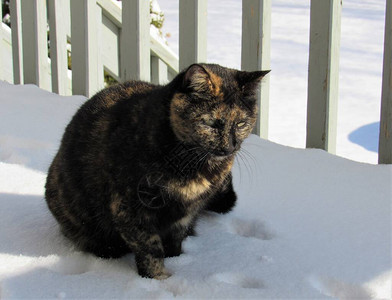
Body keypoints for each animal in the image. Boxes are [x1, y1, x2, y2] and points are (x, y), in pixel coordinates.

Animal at [43, 63, 270, 278]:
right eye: (211, 123)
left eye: (241, 123)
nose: (229, 147)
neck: (192, 164)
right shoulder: (130, 206)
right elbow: (149, 248)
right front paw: (159, 278)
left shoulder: (186, 212)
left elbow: (175, 240)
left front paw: (178, 261)